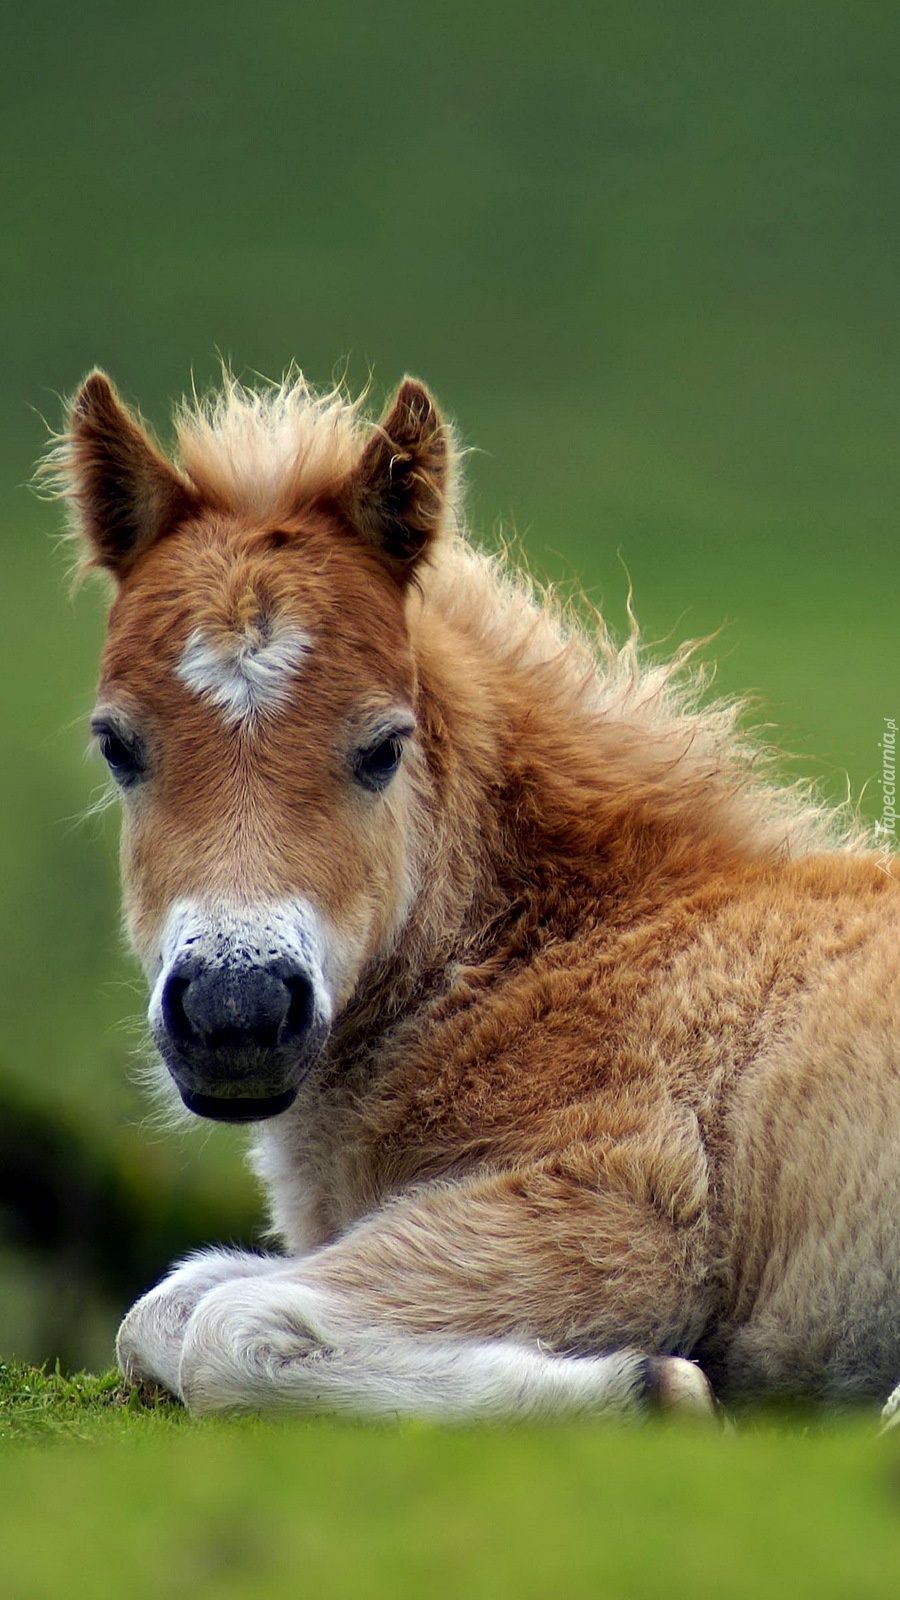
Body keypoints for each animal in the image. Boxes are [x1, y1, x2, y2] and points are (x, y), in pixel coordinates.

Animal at [54, 371, 896, 1414]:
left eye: (383, 746)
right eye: (116, 744)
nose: (235, 1014)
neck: (571, 941)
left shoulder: (619, 1204)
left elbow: (231, 1326)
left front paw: (655, 1387)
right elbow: (165, 1307)